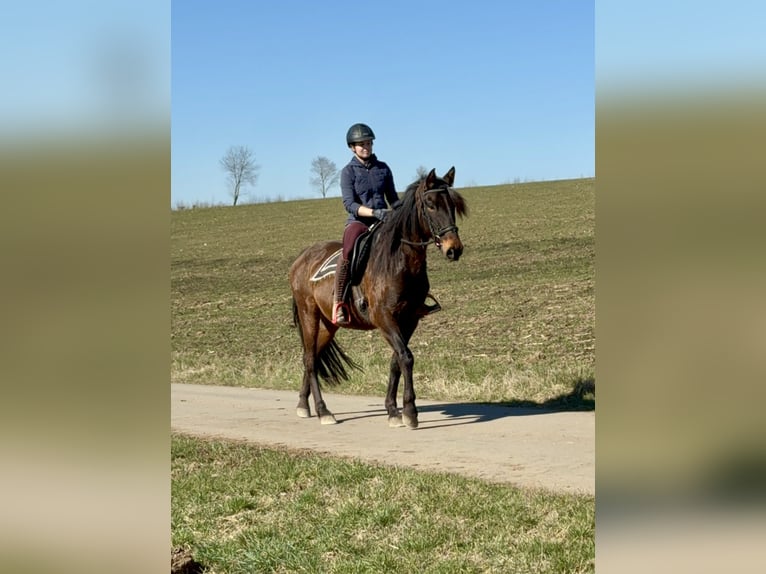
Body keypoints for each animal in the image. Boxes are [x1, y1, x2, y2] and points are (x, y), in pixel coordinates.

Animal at [290, 166, 464, 428]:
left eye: (452, 204)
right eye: (431, 204)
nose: (454, 249)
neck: (399, 262)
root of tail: (301, 258)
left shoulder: (409, 319)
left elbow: (396, 361)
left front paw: (393, 410)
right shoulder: (383, 317)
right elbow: (406, 357)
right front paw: (410, 411)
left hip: (330, 324)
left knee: (312, 357)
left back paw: (302, 404)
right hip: (308, 313)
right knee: (310, 359)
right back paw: (323, 411)